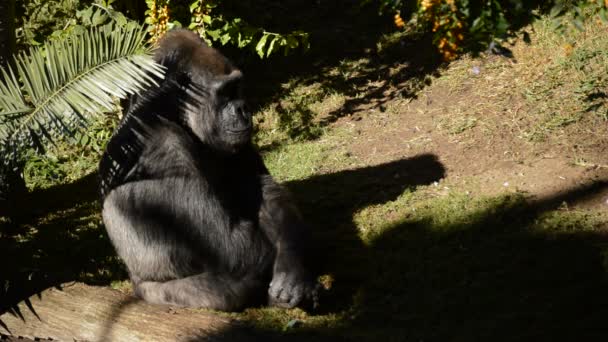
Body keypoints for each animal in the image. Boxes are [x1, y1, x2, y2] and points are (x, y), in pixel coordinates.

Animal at [97, 30, 320, 312]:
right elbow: (233, 250)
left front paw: (293, 270)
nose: (243, 109)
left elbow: (262, 189)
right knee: (231, 286)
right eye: (224, 93)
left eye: (237, 88)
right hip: (153, 294)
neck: (169, 110)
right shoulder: (164, 145)